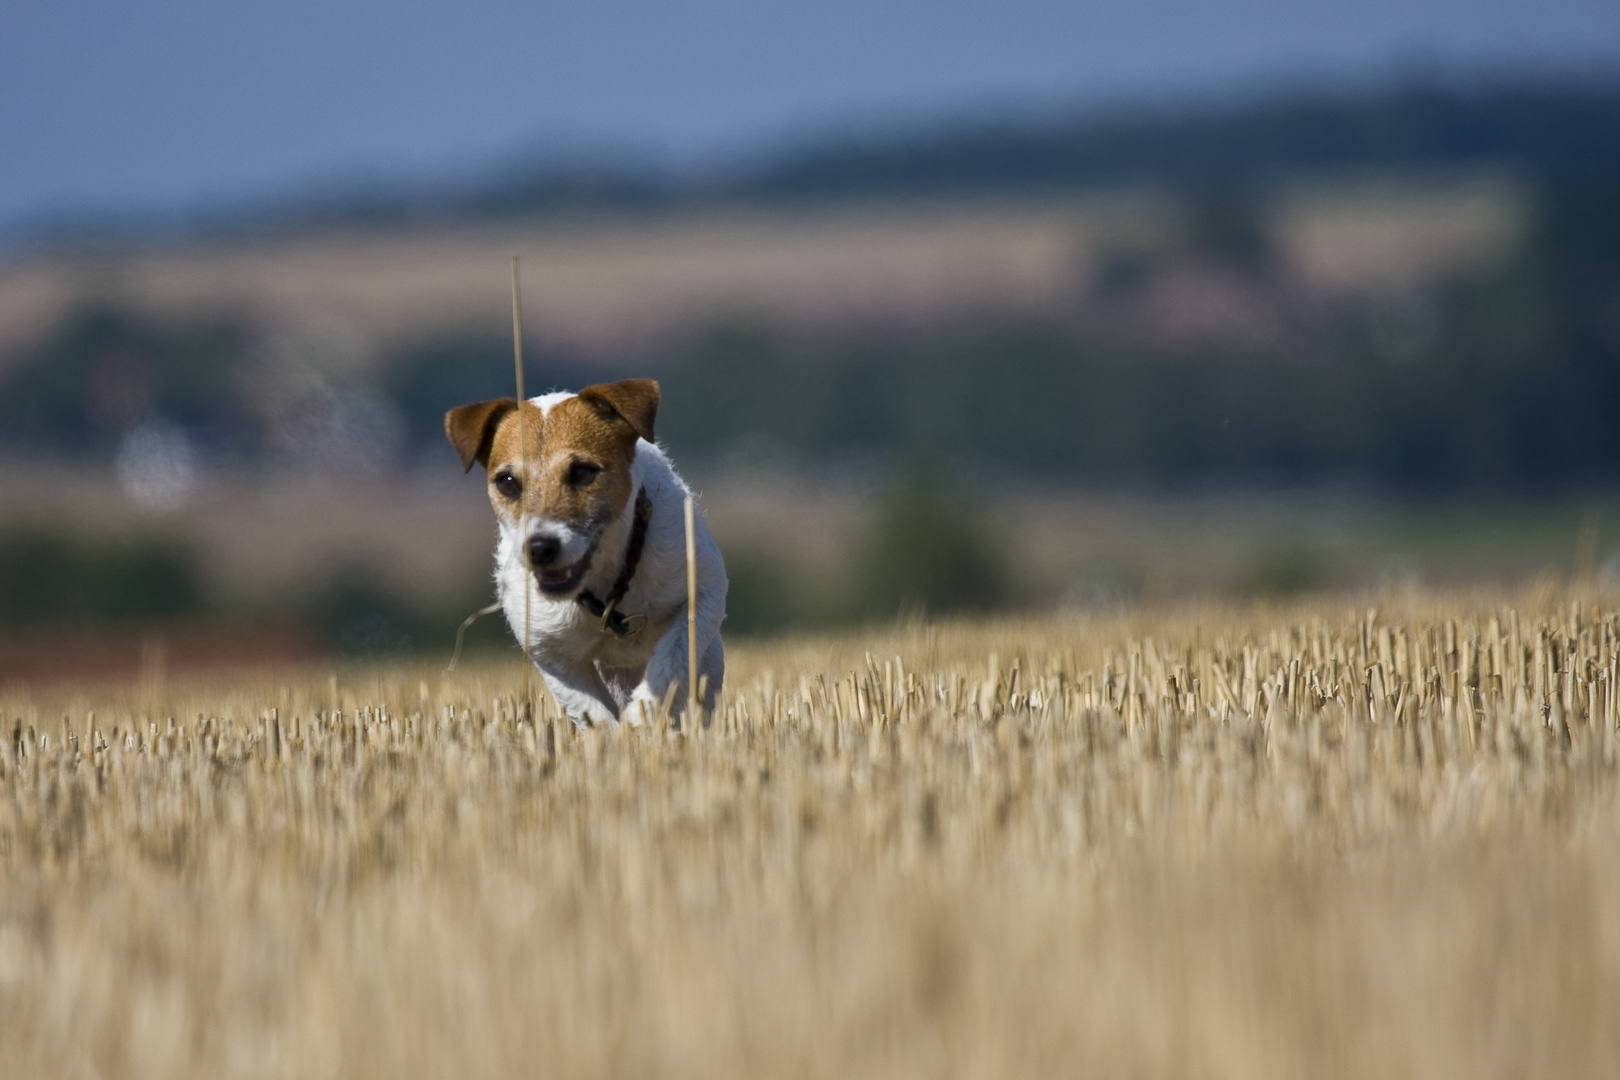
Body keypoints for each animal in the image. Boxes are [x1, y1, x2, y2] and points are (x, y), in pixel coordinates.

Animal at [440, 380, 725, 725]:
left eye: (582, 472)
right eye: (507, 482)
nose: (539, 548)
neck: (609, 584)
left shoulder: (704, 593)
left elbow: (672, 658)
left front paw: (642, 716)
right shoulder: (552, 655)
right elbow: (593, 713)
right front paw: (617, 733)